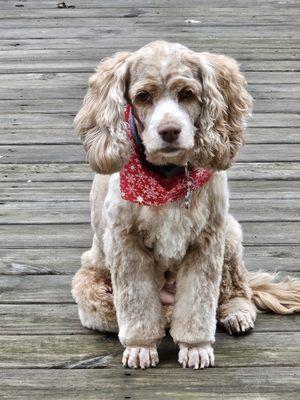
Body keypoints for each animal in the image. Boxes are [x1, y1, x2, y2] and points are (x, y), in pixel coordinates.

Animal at [72, 39, 300, 368]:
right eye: (143, 96)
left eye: (187, 94)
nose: (169, 131)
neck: (168, 177)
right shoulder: (127, 245)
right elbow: (137, 304)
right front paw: (141, 347)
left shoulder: (207, 240)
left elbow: (198, 303)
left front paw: (196, 348)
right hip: (92, 289)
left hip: (231, 234)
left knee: (236, 289)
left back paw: (236, 314)